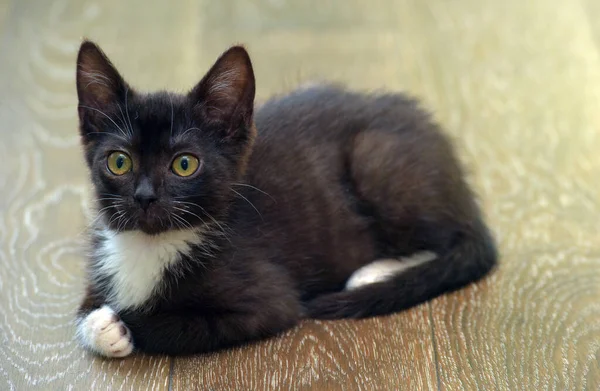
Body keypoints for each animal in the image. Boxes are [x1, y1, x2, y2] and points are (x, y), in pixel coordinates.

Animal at [74, 40, 496, 358]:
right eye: (119, 162)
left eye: (184, 164)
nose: (144, 196)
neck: (151, 244)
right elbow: (83, 312)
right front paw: (100, 324)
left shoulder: (267, 302)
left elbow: (171, 325)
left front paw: (121, 323)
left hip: (376, 161)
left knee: (452, 242)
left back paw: (372, 273)